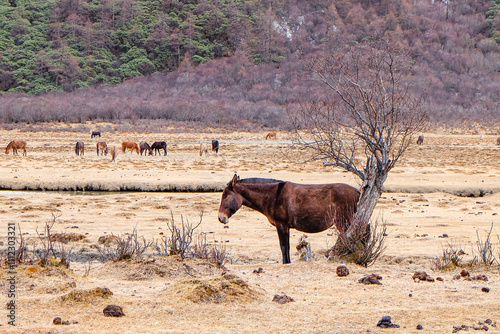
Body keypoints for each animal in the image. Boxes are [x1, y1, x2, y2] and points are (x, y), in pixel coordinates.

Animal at [219, 175, 360, 264]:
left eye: (225, 196)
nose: (221, 218)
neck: (273, 195)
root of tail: (358, 191)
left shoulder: (281, 224)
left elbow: (283, 247)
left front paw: (285, 263)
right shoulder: (285, 226)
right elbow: (286, 247)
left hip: (343, 222)